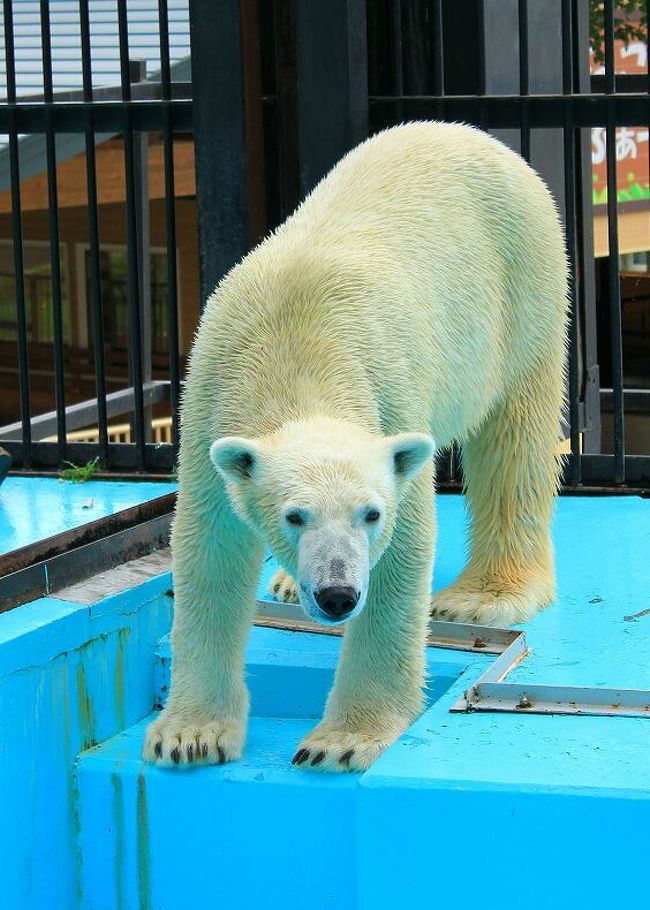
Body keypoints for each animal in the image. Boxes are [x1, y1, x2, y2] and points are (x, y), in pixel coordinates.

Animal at [144, 121, 564, 772]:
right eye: (294, 516)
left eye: (371, 514)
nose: (338, 593)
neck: (295, 346)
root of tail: (469, 133)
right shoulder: (209, 405)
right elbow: (209, 551)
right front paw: (190, 735)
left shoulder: (390, 401)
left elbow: (402, 558)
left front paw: (340, 741)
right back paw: (285, 583)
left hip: (523, 285)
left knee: (514, 437)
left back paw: (484, 596)